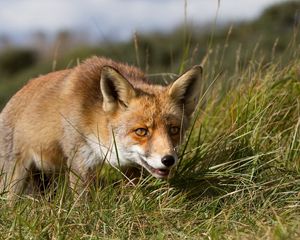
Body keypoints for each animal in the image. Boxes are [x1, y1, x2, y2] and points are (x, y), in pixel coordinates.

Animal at [0, 56, 203, 199]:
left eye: (174, 130)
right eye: (141, 131)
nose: (168, 160)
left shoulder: (130, 168)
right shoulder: (79, 160)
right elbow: (82, 202)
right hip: (14, 179)